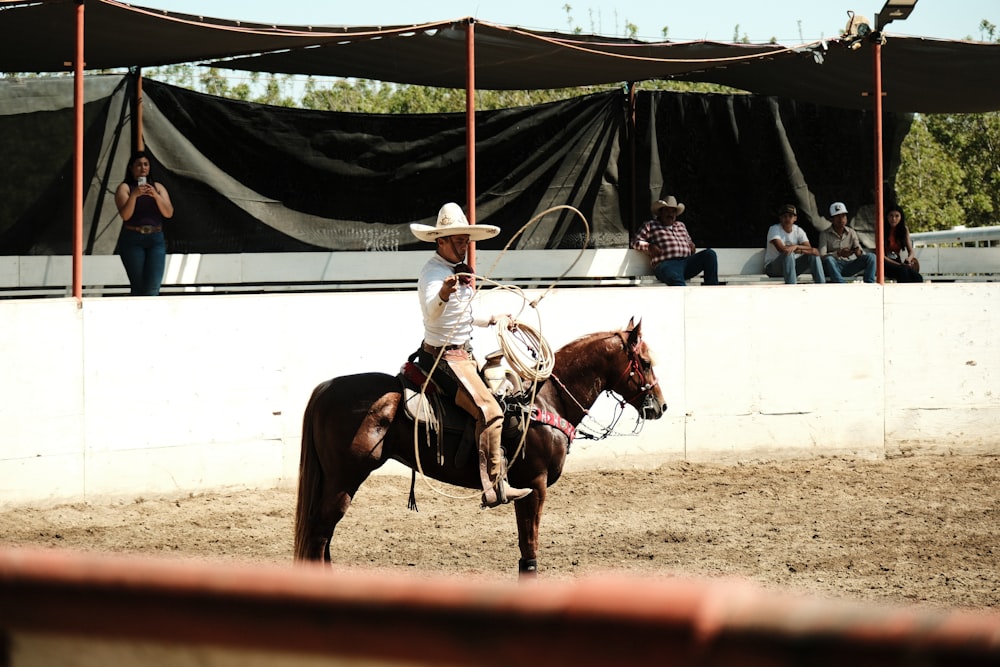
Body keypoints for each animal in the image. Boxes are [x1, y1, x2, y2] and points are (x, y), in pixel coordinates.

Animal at [292, 318, 664, 576]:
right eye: (645, 363)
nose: (660, 406)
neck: (545, 401)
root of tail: (326, 388)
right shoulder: (534, 486)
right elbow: (529, 546)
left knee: (322, 534)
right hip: (345, 478)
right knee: (320, 532)